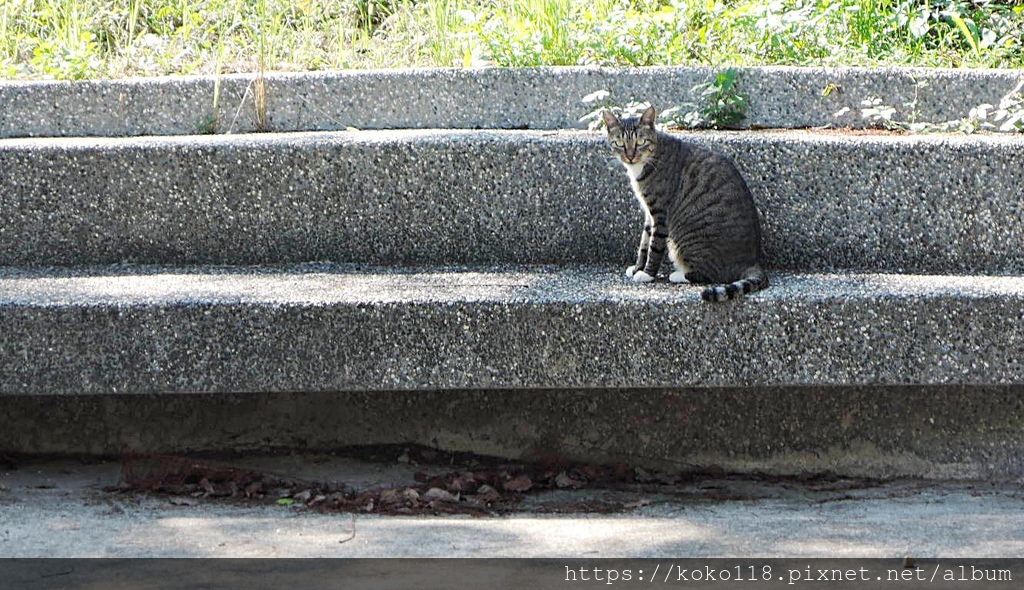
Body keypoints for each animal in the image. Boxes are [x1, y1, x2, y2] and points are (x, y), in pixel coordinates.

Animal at [598, 103, 770, 301]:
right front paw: (637, 268)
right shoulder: (649, 214)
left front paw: (647, 274)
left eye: (641, 142)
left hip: (690, 240)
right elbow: (644, 244)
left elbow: (654, 247)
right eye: (619, 144)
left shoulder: (660, 214)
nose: (630, 156)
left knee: (712, 274)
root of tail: (751, 261)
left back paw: (678, 275)